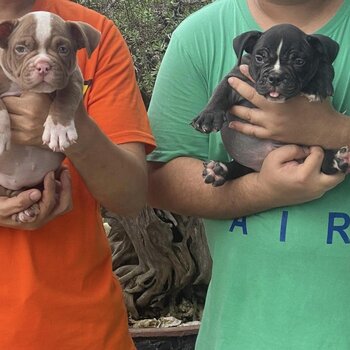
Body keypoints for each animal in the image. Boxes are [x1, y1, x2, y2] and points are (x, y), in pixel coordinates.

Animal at [193, 23, 348, 187]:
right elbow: (220, 93)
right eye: (259, 58)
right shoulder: (235, 78)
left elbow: (326, 65)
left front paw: (317, 86)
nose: (275, 77)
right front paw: (208, 116)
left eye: (299, 61)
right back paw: (219, 171)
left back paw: (337, 159)